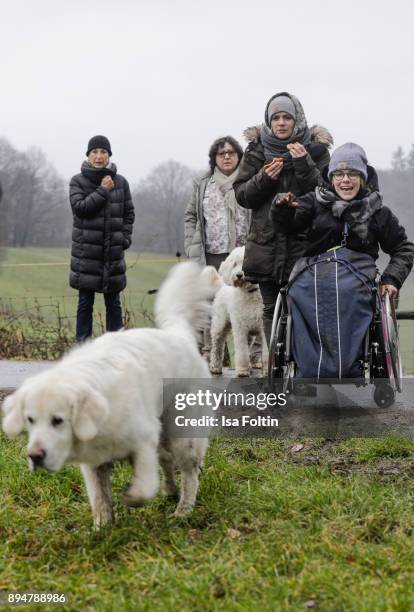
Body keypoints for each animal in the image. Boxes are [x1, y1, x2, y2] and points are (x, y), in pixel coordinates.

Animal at [1, 262, 212, 524]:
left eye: (58, 420)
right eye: (30, 420)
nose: (35, 456)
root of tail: (179, 334)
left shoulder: (143, 441)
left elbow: (142, 488)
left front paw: (131, 498)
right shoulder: (93, 464)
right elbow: (100, 500)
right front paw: (103, 527)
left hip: (183, 434)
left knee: (190, 473)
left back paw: (183, 510)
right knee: (167, 460)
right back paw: (170, 492)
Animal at [210, 246, 268, 376]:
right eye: (235, 264)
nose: (239, 275)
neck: (250, 294)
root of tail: (223, 286)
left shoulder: (262, 328)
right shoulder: (240, 328)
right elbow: (241, 351)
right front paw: (242, 370)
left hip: (249, 334)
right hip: (220, 325)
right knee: (217, 345)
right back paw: (215, 367)